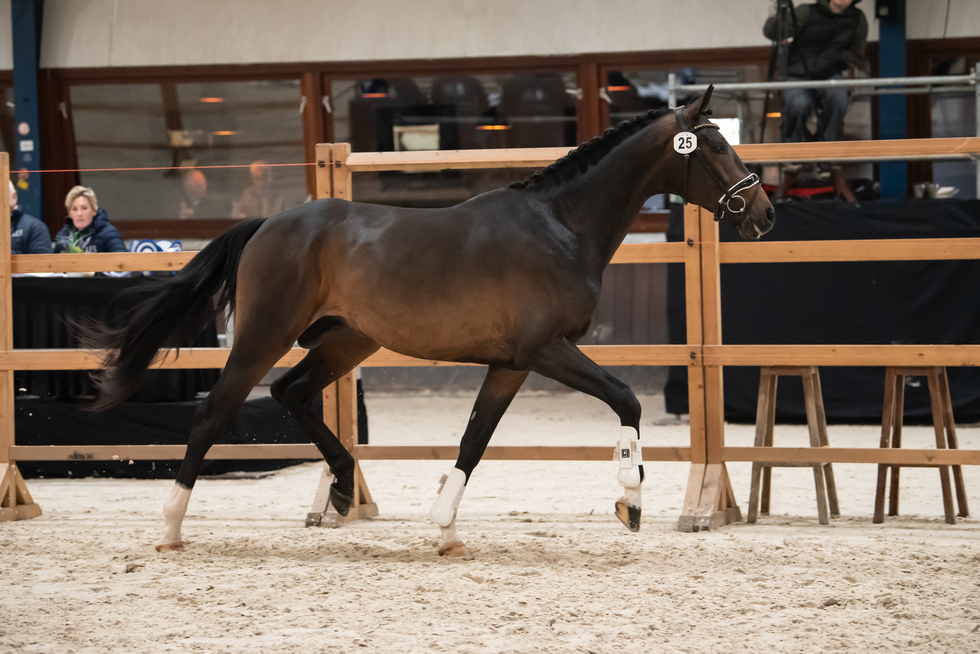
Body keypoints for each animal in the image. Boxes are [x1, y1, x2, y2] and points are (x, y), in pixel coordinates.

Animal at [80, 86, 773, 556]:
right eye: (715, 144)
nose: (763, 212)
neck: (561, 227)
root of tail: (269, 223)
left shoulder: (510, 364)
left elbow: (473, 441)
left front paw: (445, 531)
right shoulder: (546, 350)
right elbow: (627, 399)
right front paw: (630, 499)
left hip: (346, 341)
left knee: (290, 392)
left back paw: (340, 488)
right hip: (263, 335)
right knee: (213, 411)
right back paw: (171, 526)